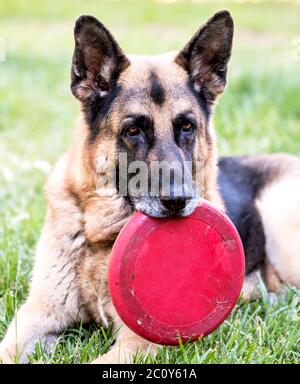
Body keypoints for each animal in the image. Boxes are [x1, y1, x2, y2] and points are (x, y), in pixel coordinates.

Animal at [0, 9, 300, 364]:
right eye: (133, 131)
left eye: (186, 126)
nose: (178, 200)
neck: (102, 236)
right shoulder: (39, 312)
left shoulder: (138, 340)